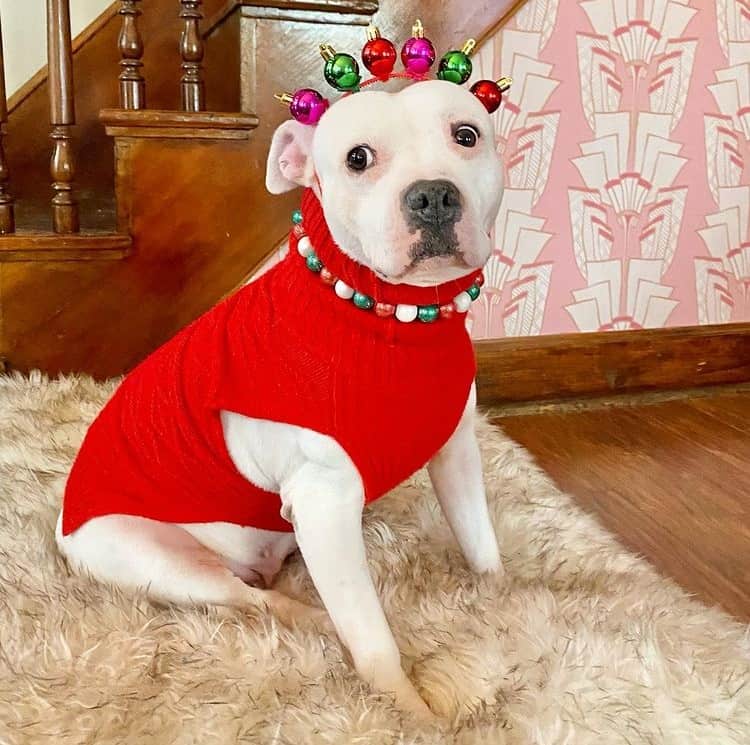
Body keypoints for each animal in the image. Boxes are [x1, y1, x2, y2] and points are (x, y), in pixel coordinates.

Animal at [57, 78, 506, 716]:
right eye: (357, 158)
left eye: (466, 135)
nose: (434, 197)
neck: (391, 321)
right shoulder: (324, 505)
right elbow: (374, 639)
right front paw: (410, 714)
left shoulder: (456, 451)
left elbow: (482, 544)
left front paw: (503, 604)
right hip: (157, 559)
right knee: (254, 602)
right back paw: (318, 622)